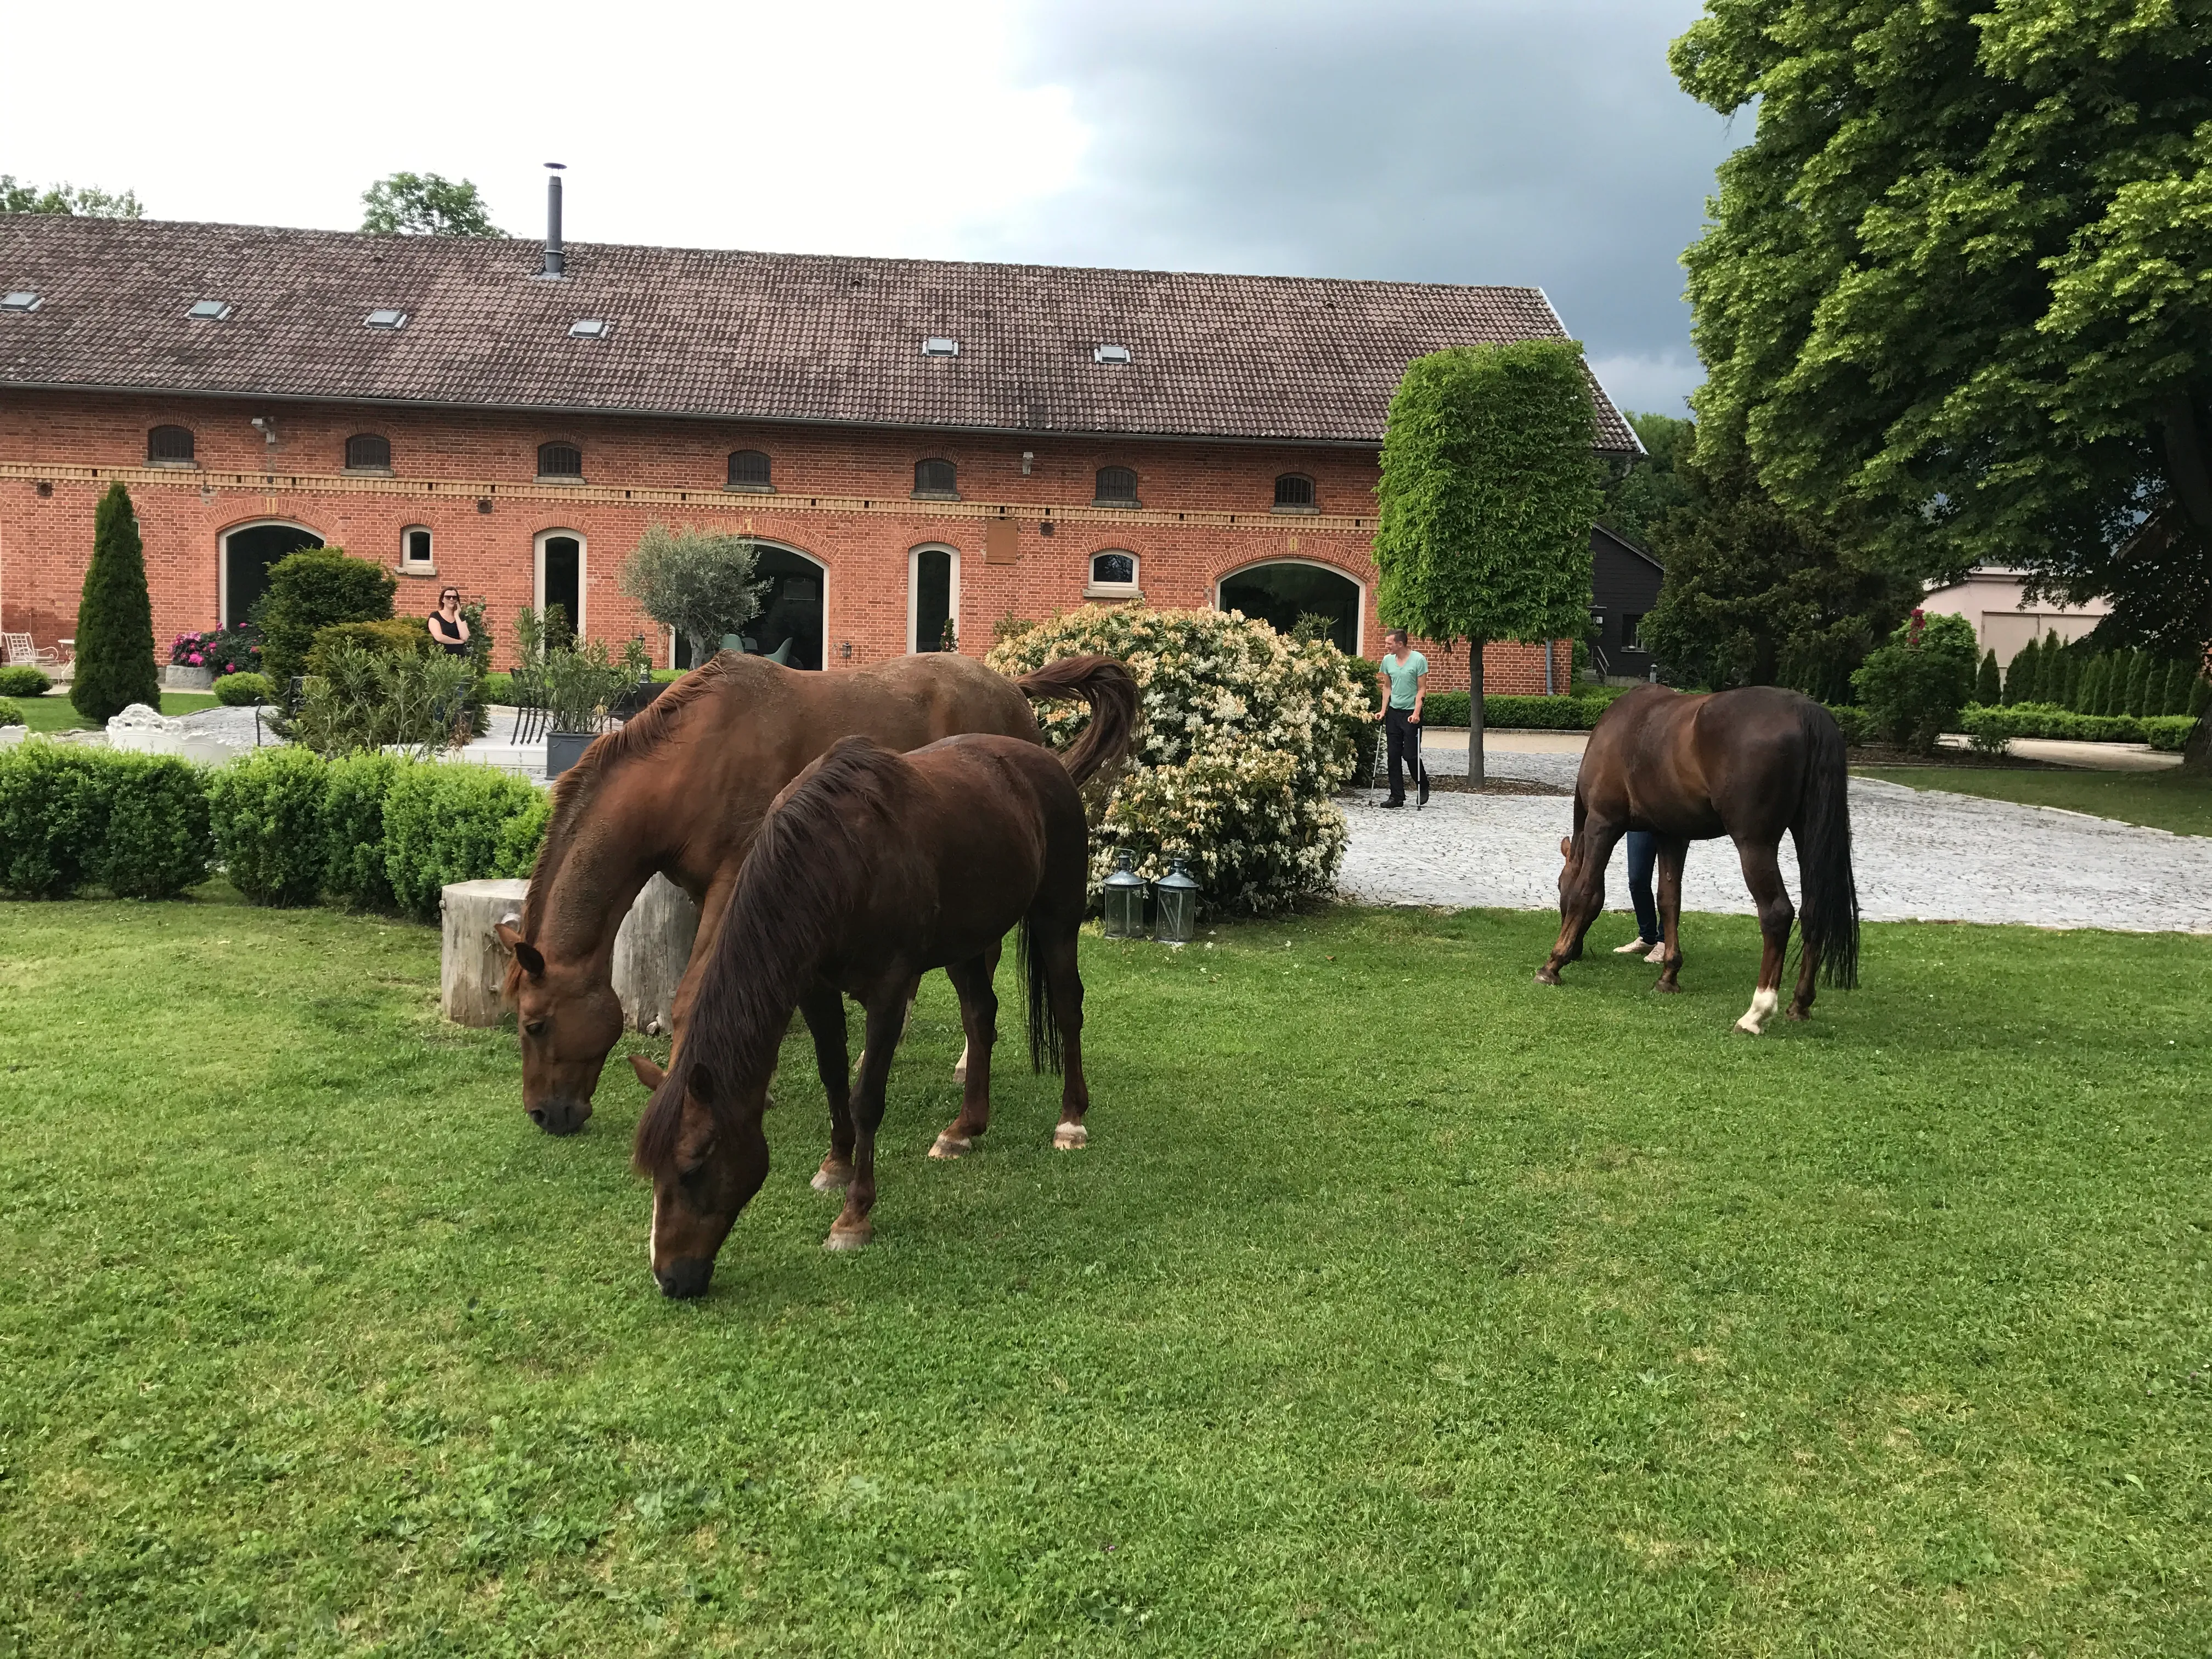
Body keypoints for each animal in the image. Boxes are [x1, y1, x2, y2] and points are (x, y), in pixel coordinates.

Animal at [497, 650, 1133, 1135]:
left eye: (535, 1024)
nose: (545, 1114)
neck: (694, 758)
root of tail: (1011, 688)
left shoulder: (736, 880)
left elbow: (691, 993)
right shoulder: (714, 894)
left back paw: (963, 1064)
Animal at [628, 727, 1111, 1298]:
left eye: (694, 1166)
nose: (671, 1278)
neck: (836, 861)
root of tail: (1048, 763)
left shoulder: (889, 992)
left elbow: (866, 1100)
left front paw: (853, 1215)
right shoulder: (814, 988)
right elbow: (833, 1075)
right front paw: (835, 1164)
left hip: (1058, 918)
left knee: (1067, 1008)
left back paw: (1070, 1121)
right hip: (966, 944)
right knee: (980, 1017)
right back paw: (963, 1129)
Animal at [1538, 684, 1860, 1033]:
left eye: (1559, 887)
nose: (1577, 952)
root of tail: (1803, 709)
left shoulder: (1603, 823)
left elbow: (1586, 892)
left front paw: (1553, 964)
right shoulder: (1671, 836)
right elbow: (1669, 900)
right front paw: (1668, 976)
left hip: (1754, 844)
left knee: (1777, 914)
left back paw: (1756, 1012)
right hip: (1805, 833)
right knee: (1813, 911)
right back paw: (1800, 1004)